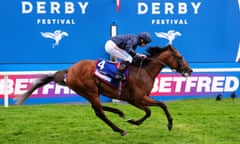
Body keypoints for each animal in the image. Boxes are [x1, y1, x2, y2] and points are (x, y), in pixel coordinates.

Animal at [14, 44, 191, 136]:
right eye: (180, 57)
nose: (189, 71)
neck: (144, 71)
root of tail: (70, 70)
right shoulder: (137, 98)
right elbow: (156, 107)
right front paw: (167, 124)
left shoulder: (134, 99)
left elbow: (155, 108)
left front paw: (133, 120)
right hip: (90, 90)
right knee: (99, 112)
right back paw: (120, 130)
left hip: (92, 92)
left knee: (97, 107)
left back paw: (119, 112)